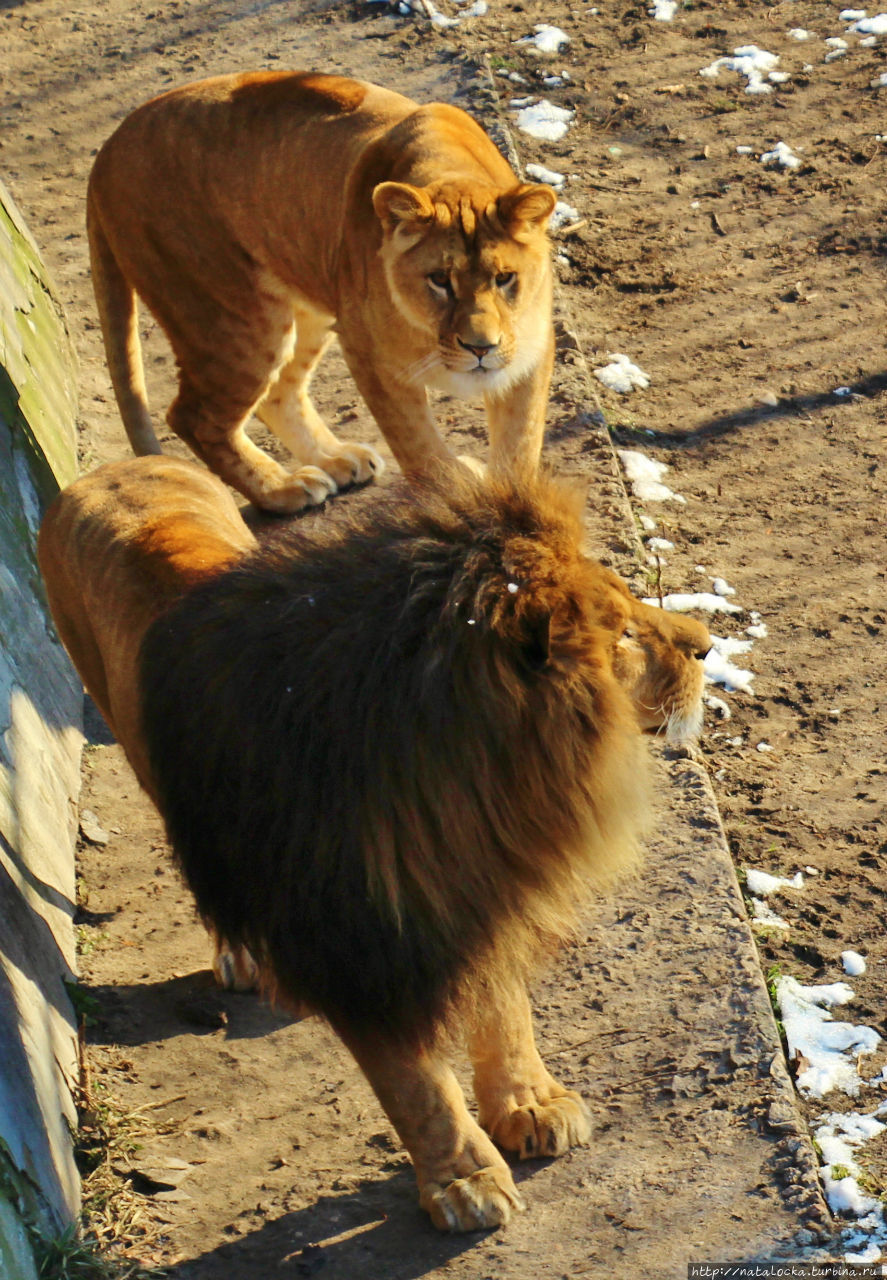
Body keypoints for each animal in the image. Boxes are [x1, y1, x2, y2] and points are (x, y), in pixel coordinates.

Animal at [39, 460, 706, 1228]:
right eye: (622, 633)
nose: (707, 644)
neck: (467, 789)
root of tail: (108, 469)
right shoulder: (355, 943)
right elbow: (414, 1085)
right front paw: (463, 1180)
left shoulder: (479, 892)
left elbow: (502, 1009)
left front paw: (529, 1105)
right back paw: (241, 954)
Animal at [88, 72, 560, 512]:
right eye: (439, 280)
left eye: (504, 278)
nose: (481, 347)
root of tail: (109, 148)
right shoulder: (369, 355)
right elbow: (419, 446)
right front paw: (463, 504)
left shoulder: (530, 349)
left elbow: (520, 444)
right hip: (231, 318)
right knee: (193, 416)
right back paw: (281, 489)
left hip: (304, 307)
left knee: (278, 392)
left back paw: (336, 461)